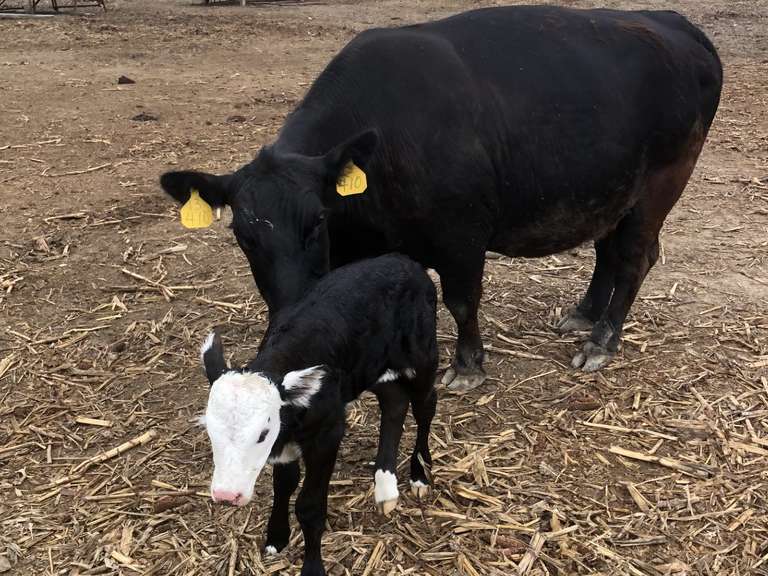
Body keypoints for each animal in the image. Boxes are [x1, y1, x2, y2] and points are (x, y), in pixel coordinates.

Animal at [161, 6, 723, 392]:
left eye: (316, 221)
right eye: (242, 235)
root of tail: (669, 21)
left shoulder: (462, 237)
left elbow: (461, 300)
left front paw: (468, 366)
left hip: (659, 187)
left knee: (633, 259)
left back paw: (601, 341)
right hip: (613, 191)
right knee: (608, 252)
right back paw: (583, 314)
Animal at [198, 254, 438, 576]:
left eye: (262, 433)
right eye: (210, 430)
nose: (226, 496)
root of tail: (405, 261)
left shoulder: (328, 432)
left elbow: (309, 507)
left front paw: (312, 567)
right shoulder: (287, 438)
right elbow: (284, 484)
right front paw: (276, 536)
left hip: (423, 357)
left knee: (426, 405)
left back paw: (419, 473)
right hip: (369, 368)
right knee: (395, 403)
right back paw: (385, 486)